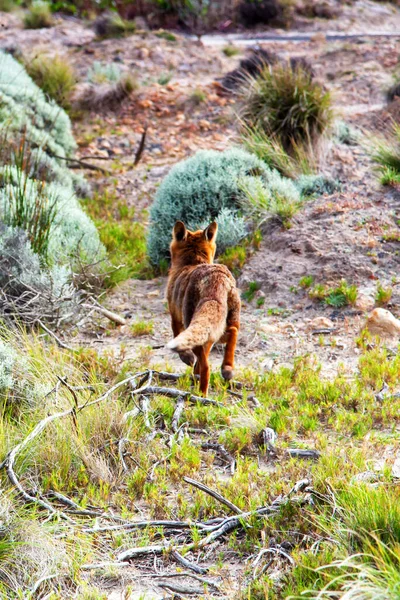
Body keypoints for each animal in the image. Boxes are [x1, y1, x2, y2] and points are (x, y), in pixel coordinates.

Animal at [166, 219, 241, 394]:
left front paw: (186, 358)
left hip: (195, 323)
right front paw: (195, 373)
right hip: (223, 325)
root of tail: (216, 276)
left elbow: (177, 336)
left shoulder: (175, 317)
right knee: (233, 332)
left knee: (207, 367)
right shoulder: (209, 335)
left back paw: (201, 394)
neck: (193, 262)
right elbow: (200, 361)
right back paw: (227, 368)